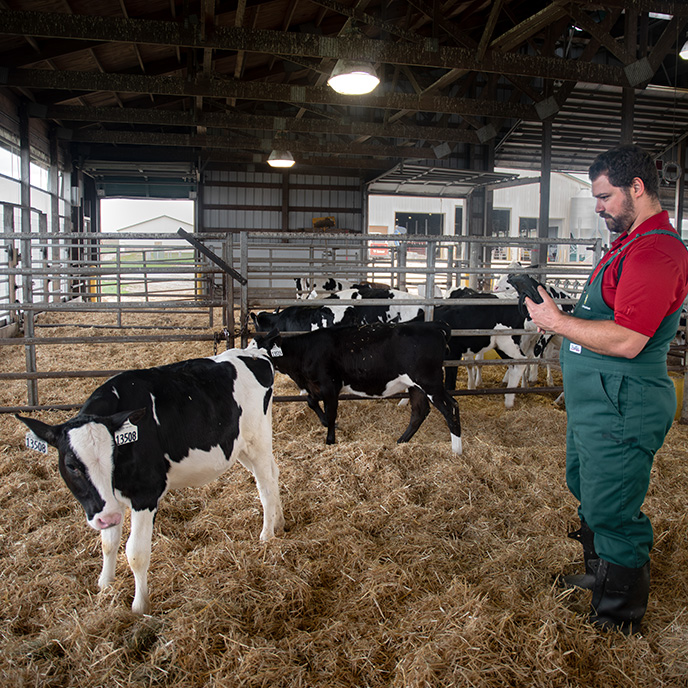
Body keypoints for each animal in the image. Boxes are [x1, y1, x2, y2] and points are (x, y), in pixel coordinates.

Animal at [16, 346, 284, 616]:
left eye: (113, 455)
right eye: (72, 465)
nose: (107, 518)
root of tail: (254, 352)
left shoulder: (145, 494)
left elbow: (136, 553)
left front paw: (139, 606)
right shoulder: (111, 502)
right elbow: (108, 543)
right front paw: (105, 584)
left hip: (257, 441)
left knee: (266, 487)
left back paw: (266, 534)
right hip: (239, 448)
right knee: (274, 472)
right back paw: (279, 521)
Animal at [253, 324, 462, 456]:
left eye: (262, 352)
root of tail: (434, 328)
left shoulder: (330, 386)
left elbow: (331, 413)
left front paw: (330, 441)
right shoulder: (315, 386)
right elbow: (312, 402)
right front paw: (327, 424)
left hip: (429, 382)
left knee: (450, 408)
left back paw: (456, 451)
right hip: (416, 386)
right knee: (420, 412)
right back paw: (400, 442)